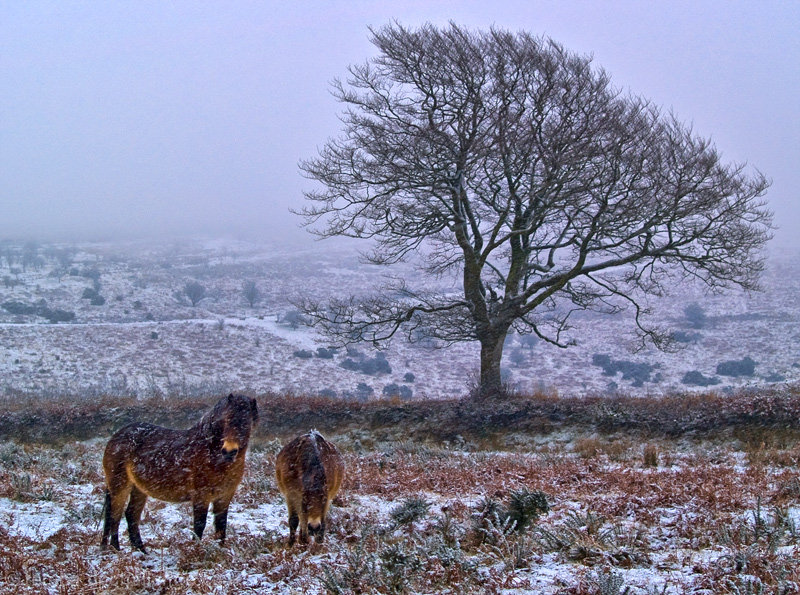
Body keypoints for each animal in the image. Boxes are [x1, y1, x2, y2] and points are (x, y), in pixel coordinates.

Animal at [98, 394, 258, 552]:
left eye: (246, 421)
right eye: (226, 419)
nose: (229, 452)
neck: (211, 451)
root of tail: (116, 436)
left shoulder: (224, 497)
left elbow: (221, 527)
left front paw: (220, 552)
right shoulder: (201, 497)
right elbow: (199, 526)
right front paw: (196, 551)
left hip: (139, 489)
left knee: (131, 515)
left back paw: (141, 551)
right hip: (120, 486)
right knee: (114, 515)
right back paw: (116, 549)